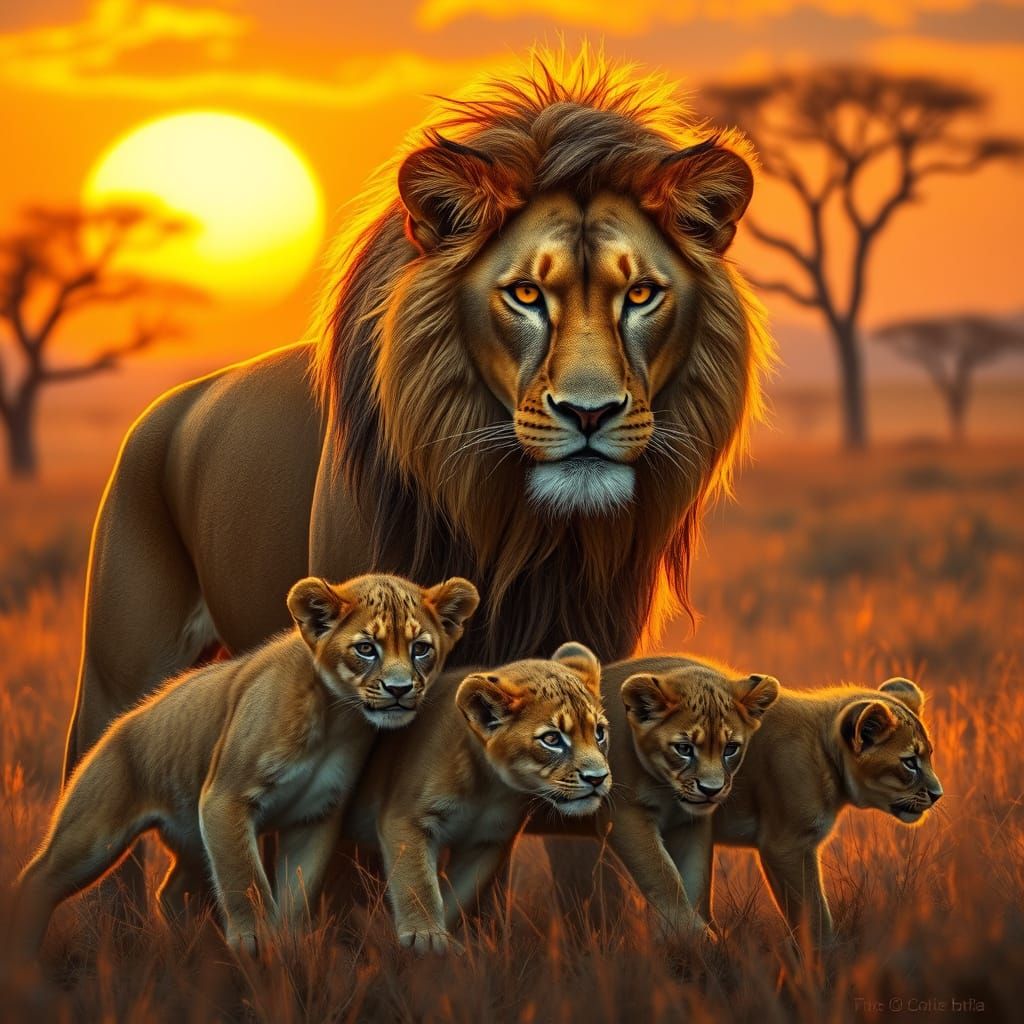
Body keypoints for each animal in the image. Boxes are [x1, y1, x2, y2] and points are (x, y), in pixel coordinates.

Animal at [14, 573, 478, 956]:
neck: (337, 718)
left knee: (171, 893)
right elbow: (244, 878)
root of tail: (118, 726)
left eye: (420, 649)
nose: (400, 690)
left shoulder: (315, 815)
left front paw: (288, 945)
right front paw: (255, 941)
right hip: (92, 834)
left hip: (188, 838)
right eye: (366, 648)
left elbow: (298, 888)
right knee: (36, 881)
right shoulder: (224, 798)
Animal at [341, 642, 611, 954]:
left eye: (599, 733)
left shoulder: (486, 842)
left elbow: (458, 895)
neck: (491, 786)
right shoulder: (406, 818)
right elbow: (417, 881)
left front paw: (449, 946)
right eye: (552, 739)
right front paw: (426, 937)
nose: (598, 778)